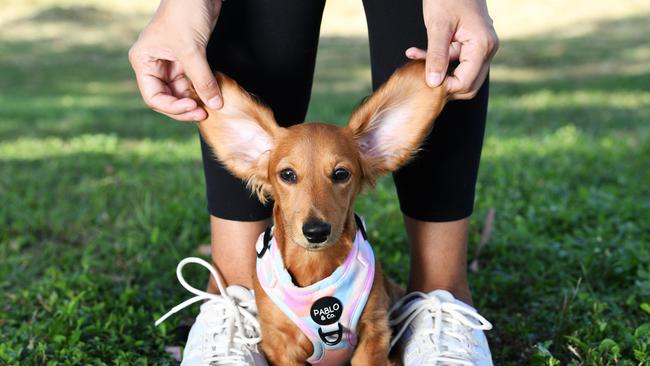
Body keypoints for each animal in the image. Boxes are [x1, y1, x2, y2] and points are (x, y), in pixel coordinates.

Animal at [197, 61, 448, 364]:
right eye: (287, 174)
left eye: (341, 174)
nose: (316, 231)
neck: (315, 267)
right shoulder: (280, 346)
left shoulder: (374, 333)